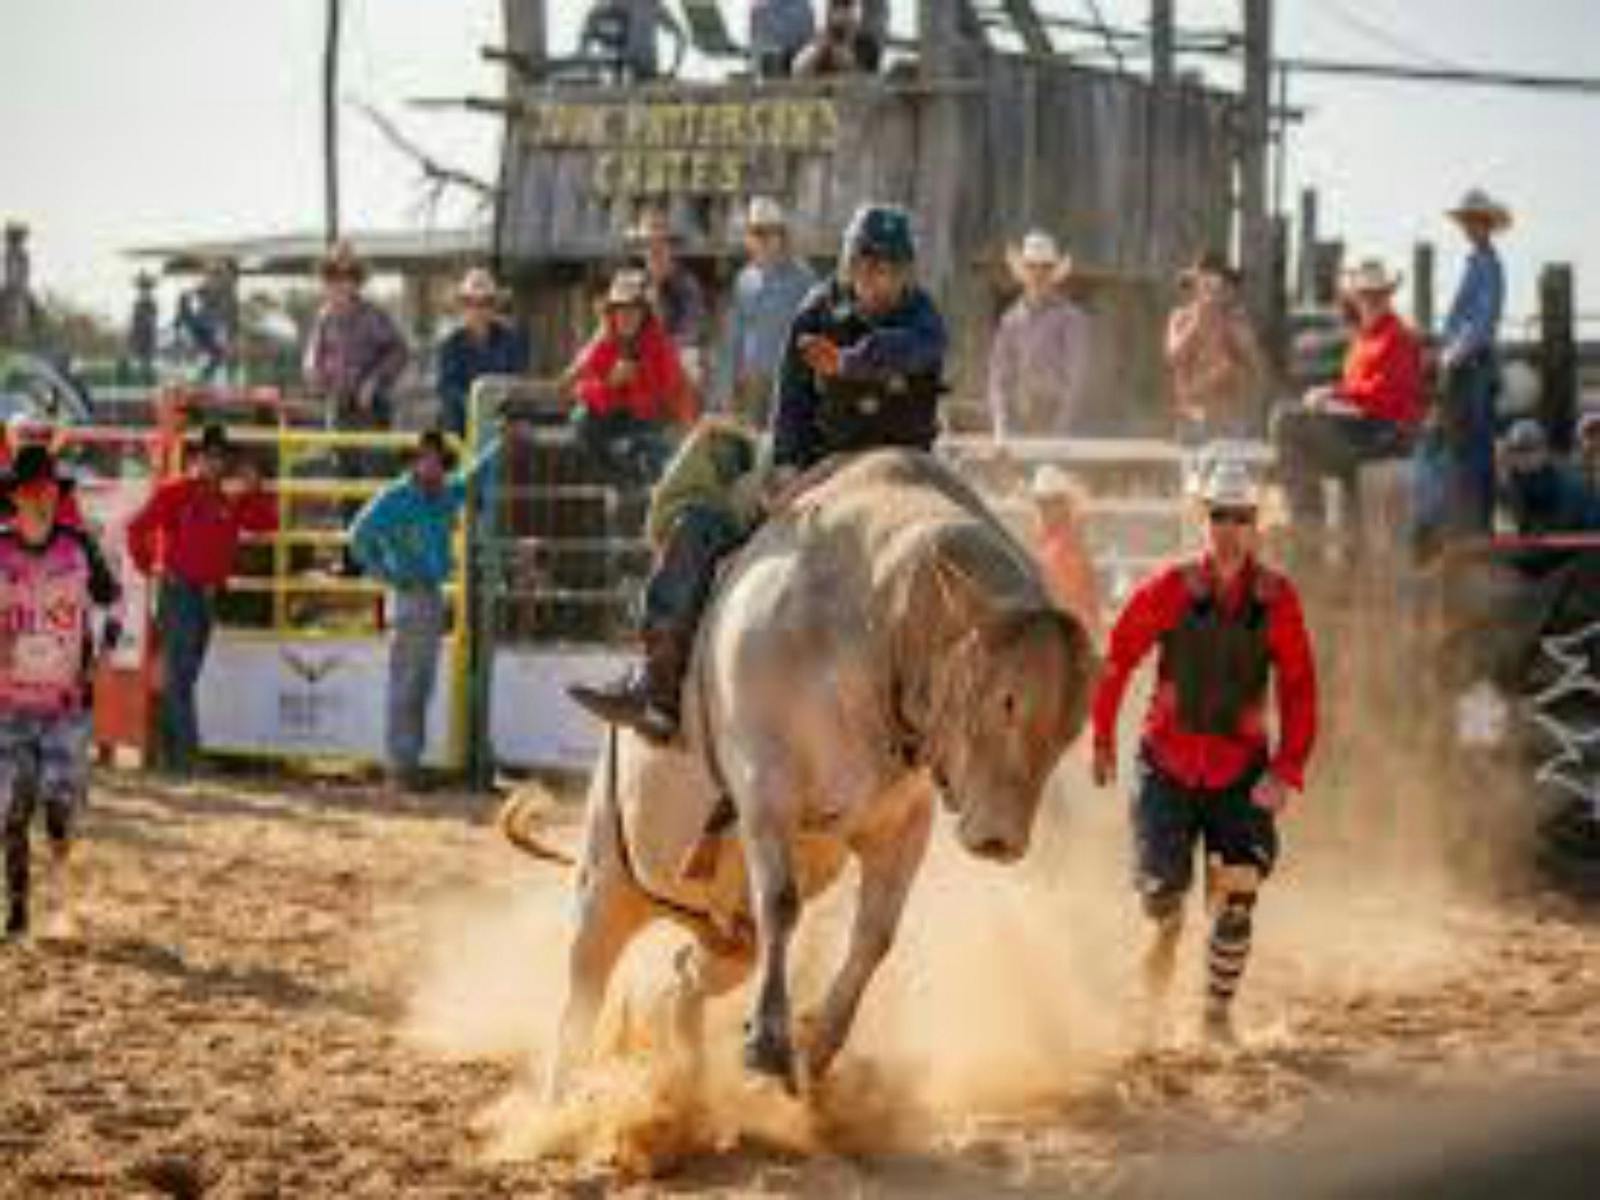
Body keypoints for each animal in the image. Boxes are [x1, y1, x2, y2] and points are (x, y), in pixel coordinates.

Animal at [502, 451, 1100, 1100]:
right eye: (1006, 700)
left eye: (1072, 726)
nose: (1000, 839)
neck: (879, 618)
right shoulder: (767, 789)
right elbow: (783, 903)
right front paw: (767, 1042)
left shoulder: (902, 825)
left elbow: (875, 937)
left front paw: (816, 1047)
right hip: (605, 885)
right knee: (581, 1000)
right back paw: (562, 1101)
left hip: (725, 940)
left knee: (686, 978)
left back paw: (682, 1069)